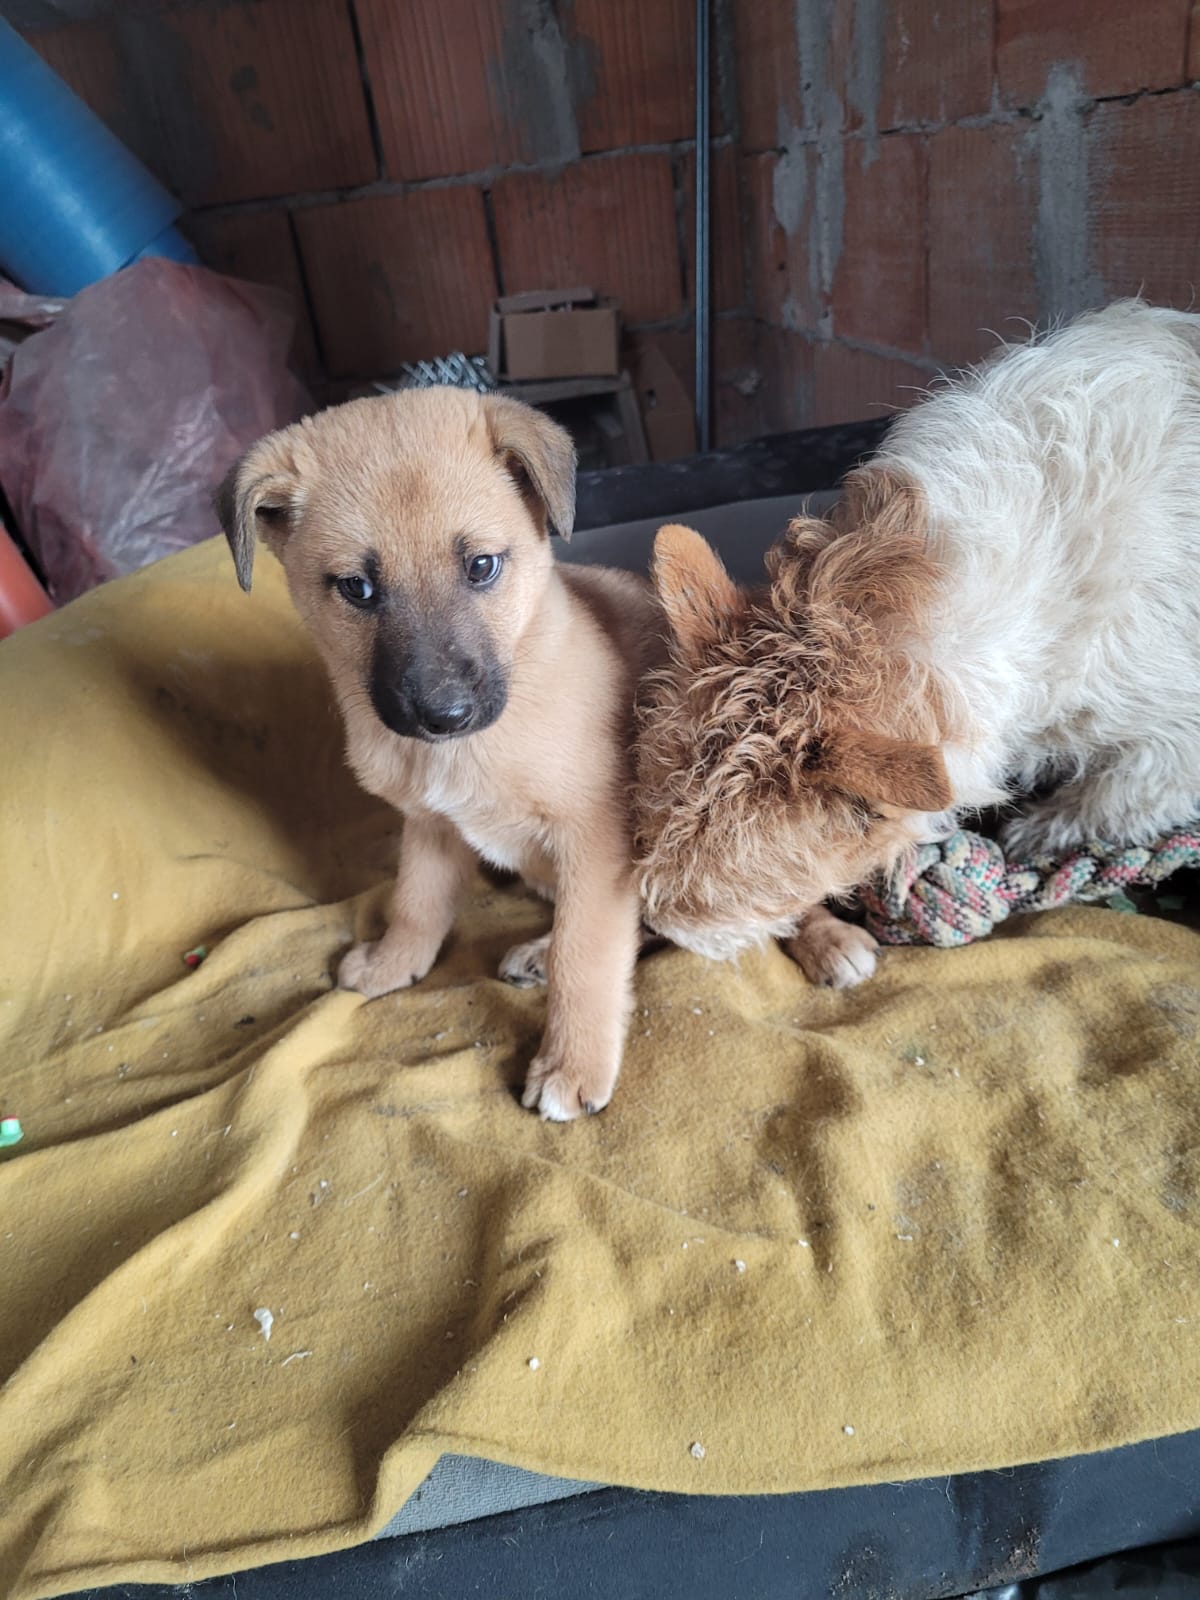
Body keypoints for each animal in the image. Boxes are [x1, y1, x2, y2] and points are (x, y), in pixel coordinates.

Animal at [216, 387, 665, 1120]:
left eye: (481, 567)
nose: (443, 714)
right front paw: (393, 963)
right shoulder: (428, 824)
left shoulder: (597, 838)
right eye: (357, 588)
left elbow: (586, 954)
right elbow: (415, 901)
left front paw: (572, 1064)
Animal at [633, 300, 1200, 983]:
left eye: (748, 887)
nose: (662, 930)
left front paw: (1037, 834)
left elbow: (1124, 795)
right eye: (647, 828)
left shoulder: (1172, 734)